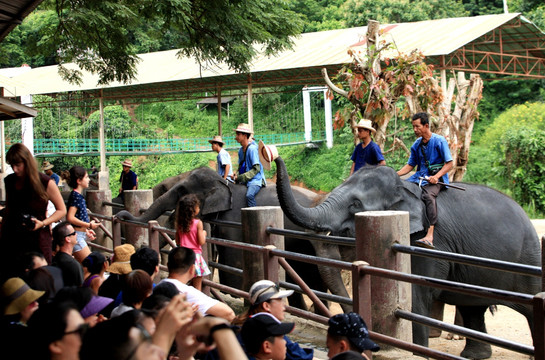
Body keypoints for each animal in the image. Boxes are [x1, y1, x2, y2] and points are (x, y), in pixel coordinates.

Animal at [274, 158, 540, 360]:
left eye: (355, 204)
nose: (275, 157)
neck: (403, 190)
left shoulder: (424, 243)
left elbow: (416, 295)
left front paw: (417, 353)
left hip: (529, 256)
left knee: (529, 305)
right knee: (472, 305)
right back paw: (474, 356)